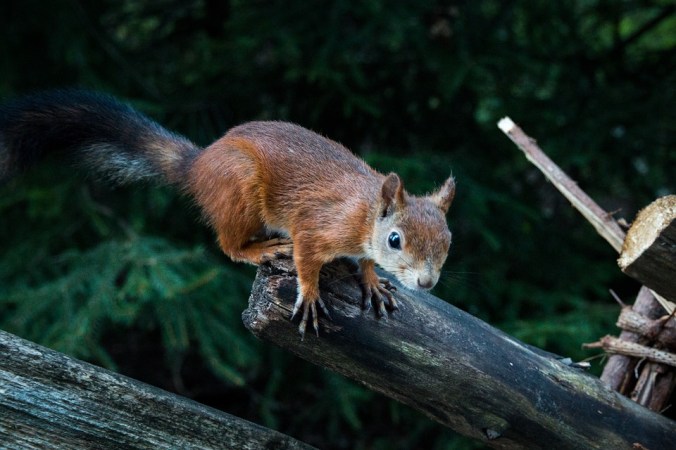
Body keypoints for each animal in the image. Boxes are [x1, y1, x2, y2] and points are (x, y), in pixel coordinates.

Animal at [0, 89, 455, 337]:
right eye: (395, 239)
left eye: (448, 242)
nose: (427, 283)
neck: (364, 213)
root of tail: (198, 165)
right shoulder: (318, 227)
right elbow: (307, 259)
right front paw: (310, 294)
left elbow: (364, 263)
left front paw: (372, 280)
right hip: (239, 192)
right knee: (227, 245)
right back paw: (260, 250)